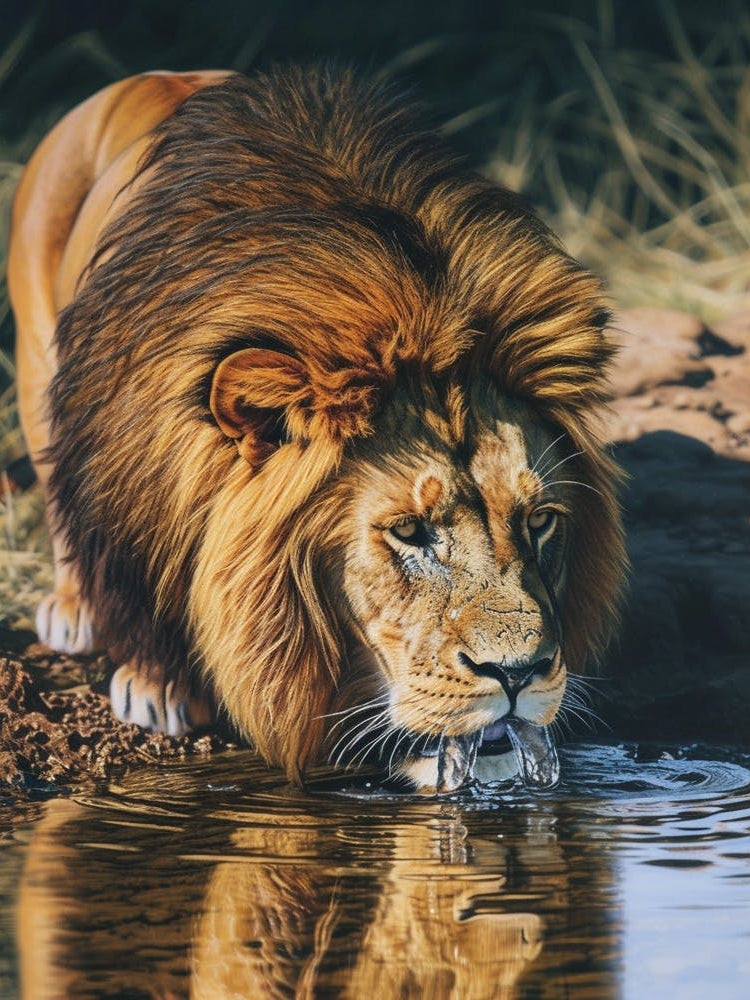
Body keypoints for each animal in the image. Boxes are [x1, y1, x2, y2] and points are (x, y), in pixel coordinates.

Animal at [8, 65, 626, 792]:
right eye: (409, 532)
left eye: (540, 522)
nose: (519, 673)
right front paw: (157, 687)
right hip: (37, 367)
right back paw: (73, 612)